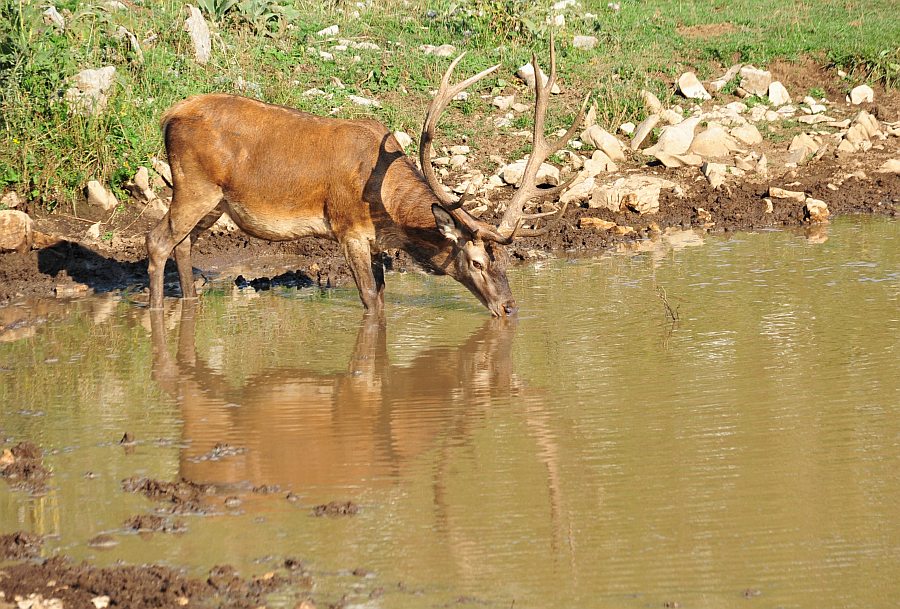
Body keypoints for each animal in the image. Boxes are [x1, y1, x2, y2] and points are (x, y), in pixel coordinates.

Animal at [147, 32, 584, 318]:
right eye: (476, 262)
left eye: (506, 259)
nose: (510, 308)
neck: (385, 206)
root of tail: (169, 115)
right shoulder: (348, 229)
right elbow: (371, 302)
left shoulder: (374, 242)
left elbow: (383, 297)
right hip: (194, 185)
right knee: (157, 240)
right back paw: (154, 309)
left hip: (216, 202)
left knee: (183, 245)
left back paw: (189, 303)